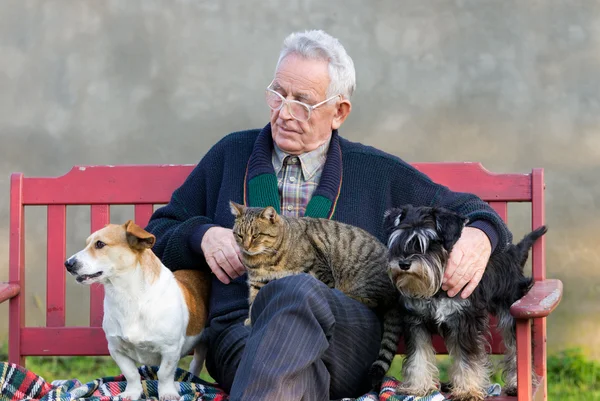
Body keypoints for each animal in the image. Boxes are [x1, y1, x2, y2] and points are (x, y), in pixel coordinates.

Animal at [65, 220, 211, 398]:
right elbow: (132, 374)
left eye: (100, 244)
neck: (129, 297)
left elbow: (164, 374)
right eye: (87, 244)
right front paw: (132, 393)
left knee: (196, 363)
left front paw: (167, 393)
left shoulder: (170, 350)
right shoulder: (116, 349)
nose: (68, 264)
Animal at [230, 202, 404, 386]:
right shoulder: (257, 281)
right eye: (240, 235)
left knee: (375, 301)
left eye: (256, 235)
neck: (262, 259)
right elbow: (253, 300)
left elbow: (325, 285)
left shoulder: (319, 269)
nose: (246, 247)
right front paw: (251, 319)